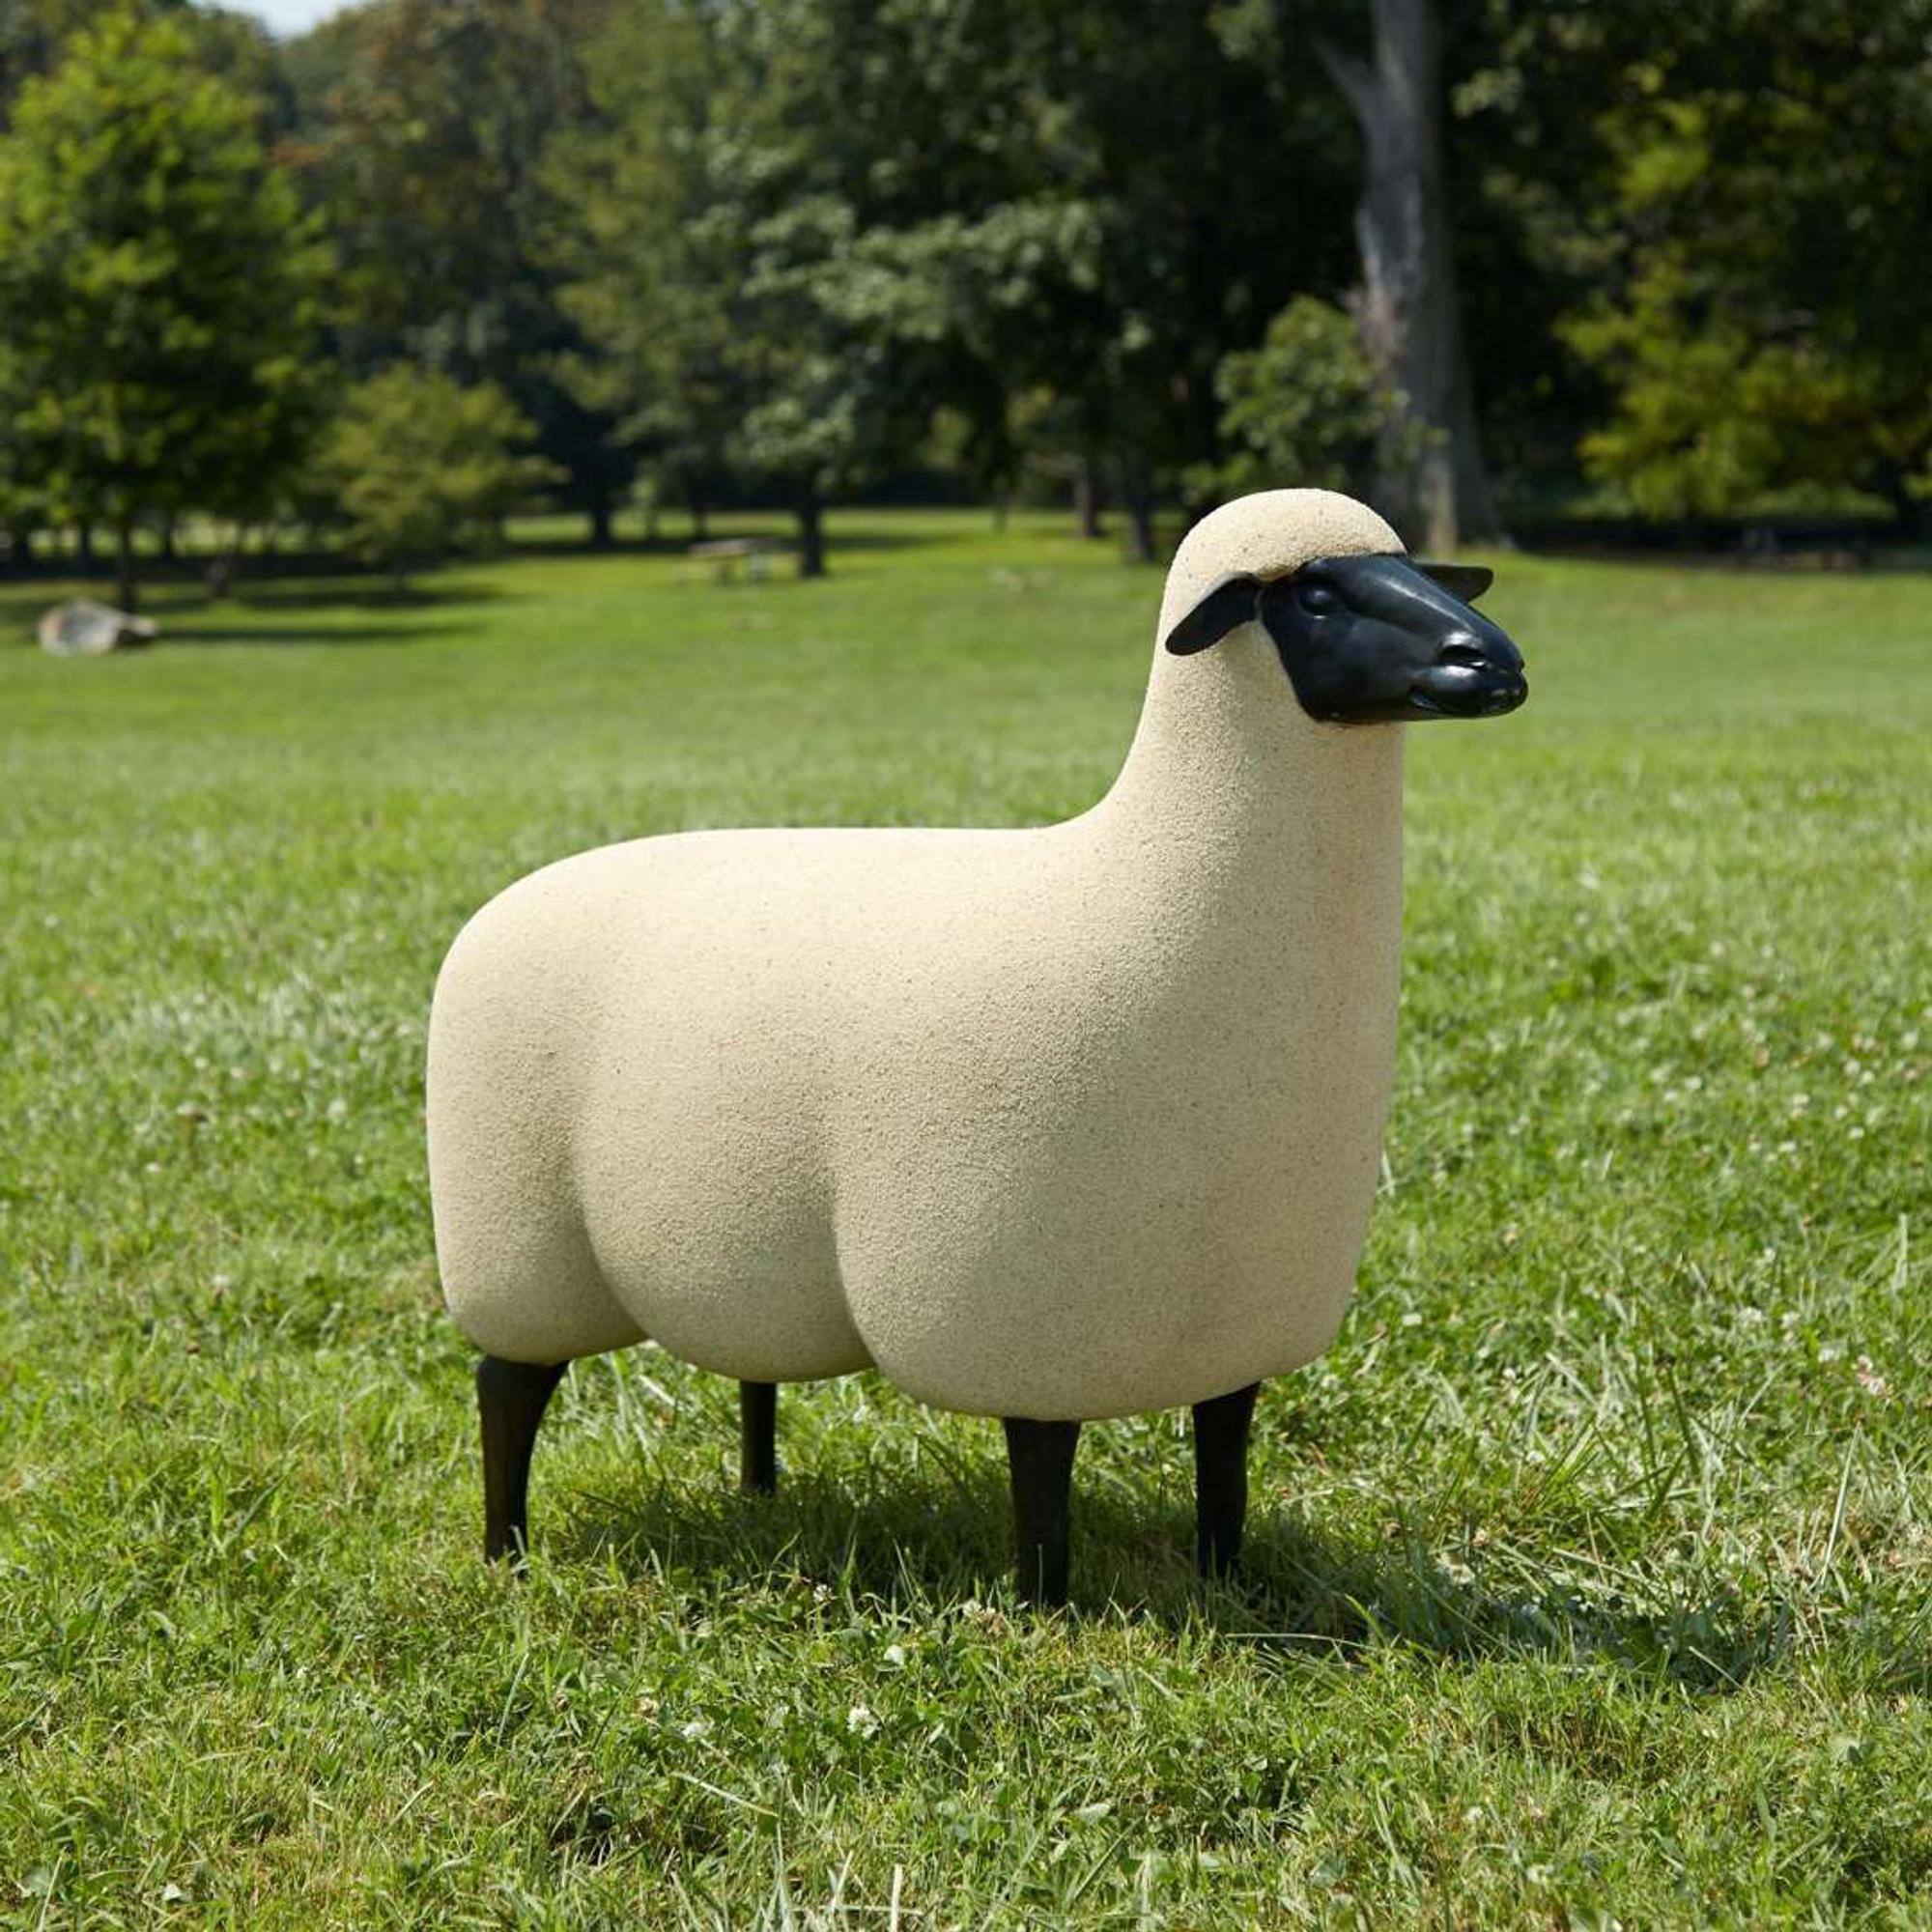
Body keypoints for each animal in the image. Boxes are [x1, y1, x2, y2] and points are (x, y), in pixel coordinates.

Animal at [427, 488, 1528, 1603]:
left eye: (1420, 571)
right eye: (1313, 592)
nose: (1493, 662)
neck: (1141, 872)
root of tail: (503, 905)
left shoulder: (1240, 1309)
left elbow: (1225, 1450)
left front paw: (1227, 1579)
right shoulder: (1018, 1314)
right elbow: (1041, 1469)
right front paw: (1045, 1606)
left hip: (728, 1245)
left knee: (749, 1371)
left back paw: (759, 1491)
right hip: (517, 1247)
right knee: (505, 1386)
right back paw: (505, 1546)